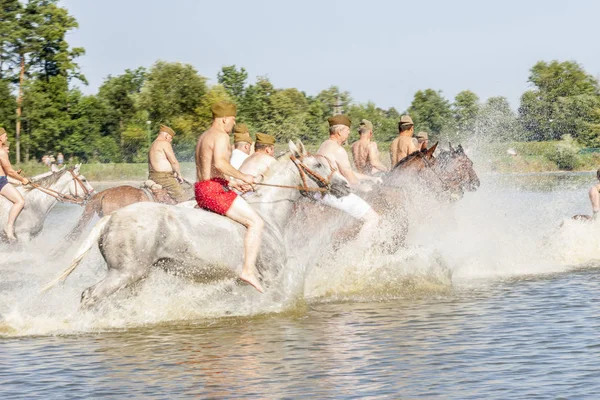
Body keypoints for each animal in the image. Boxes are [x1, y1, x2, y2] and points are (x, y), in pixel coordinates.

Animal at [45, 142, 352, 308]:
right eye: (319, 165)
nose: (345, 185)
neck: (269, 213)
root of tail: (113, 216)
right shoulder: (271, 276)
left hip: (137, 277)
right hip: (123, 274)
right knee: (89, 295)